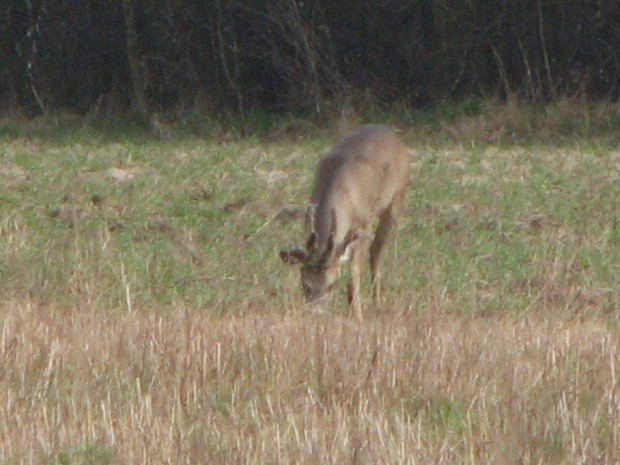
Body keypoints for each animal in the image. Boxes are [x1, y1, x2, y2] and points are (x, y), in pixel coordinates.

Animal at [282, 124, 412, 320]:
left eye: (331, 285)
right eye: (305, 285)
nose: (315, 313)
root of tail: (392, 134)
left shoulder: (363, 225)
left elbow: (355, 272)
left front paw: (357, 314)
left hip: (396, 200)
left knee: (375, 250)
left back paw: (377, 302)